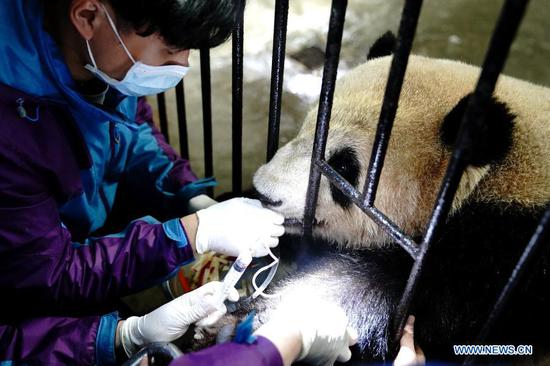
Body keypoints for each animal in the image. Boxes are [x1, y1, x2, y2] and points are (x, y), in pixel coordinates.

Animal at [194, 35, 550, 364]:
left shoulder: (496, 259)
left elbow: (375, 291)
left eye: (343, 166)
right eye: (307, 128)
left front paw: (251, 324)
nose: (264, 192)